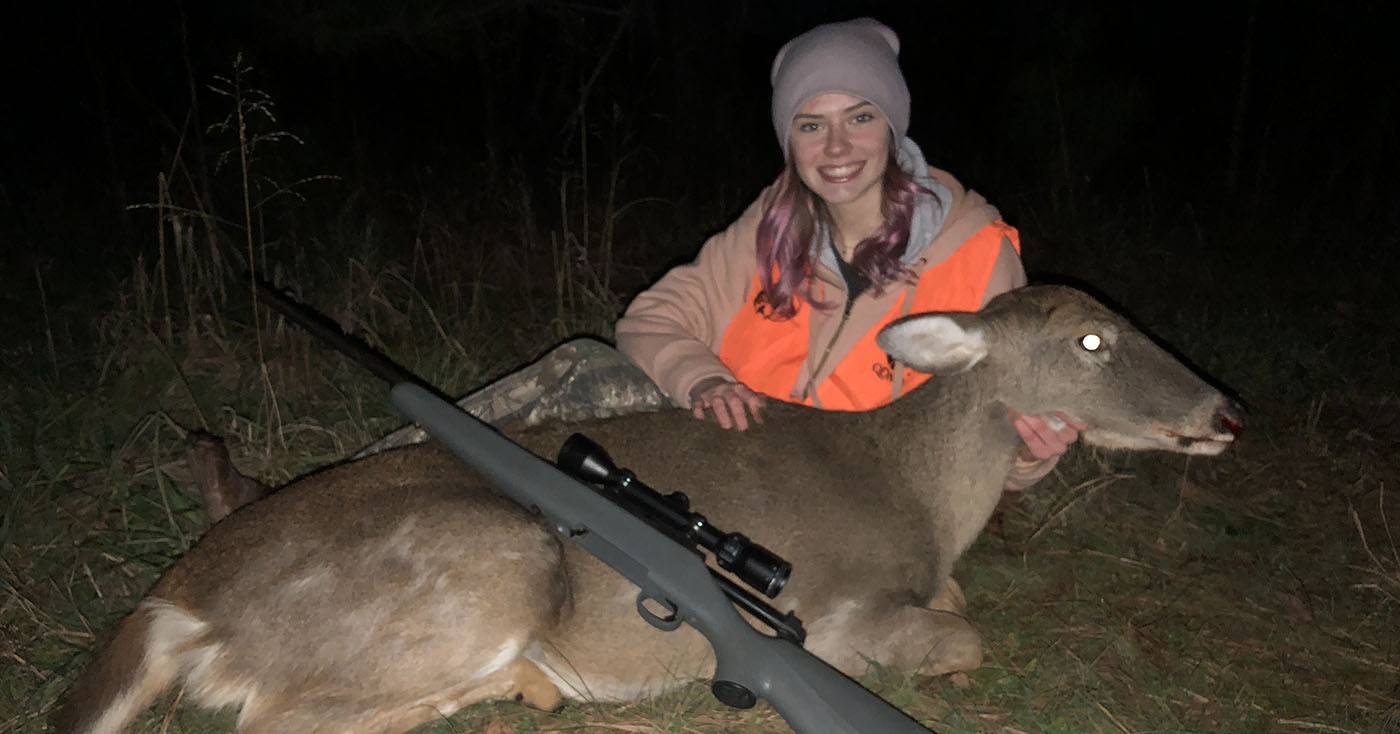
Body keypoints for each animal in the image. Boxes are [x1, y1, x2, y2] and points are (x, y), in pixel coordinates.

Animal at [60, 287, 1243, 734]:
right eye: (1090, 340)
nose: (1226, 410)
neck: (917, 490)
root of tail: (176, 597)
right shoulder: (843, 614)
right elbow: (962, 638)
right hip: (492, 553)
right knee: (276, 718)